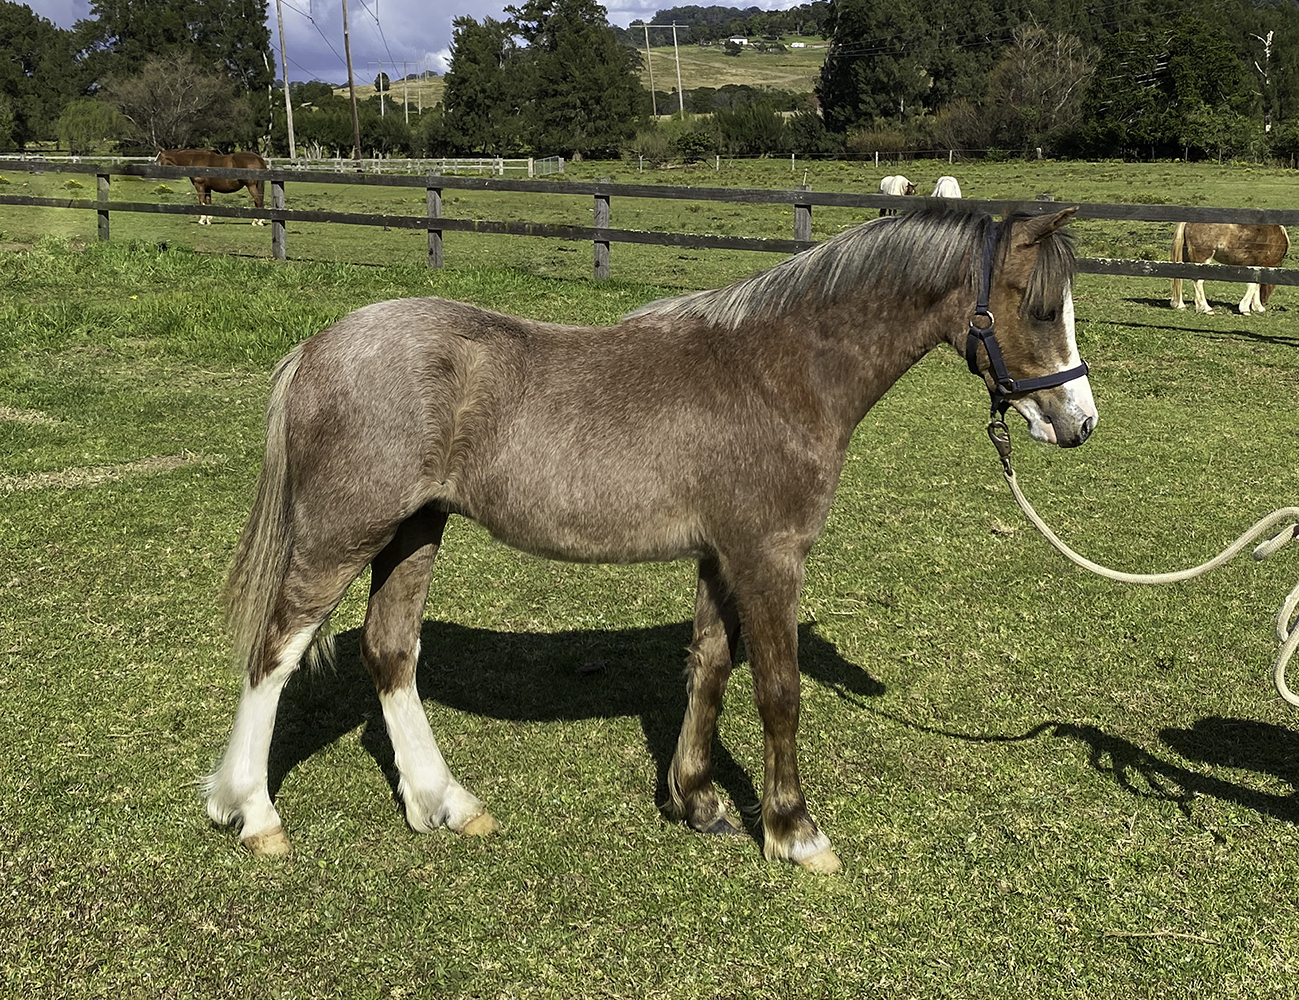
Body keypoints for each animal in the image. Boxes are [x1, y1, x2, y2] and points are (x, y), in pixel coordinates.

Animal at [205, 206, 1097, 873]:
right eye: (1038, 307)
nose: (1078, 423)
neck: (783, 370)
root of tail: (317, 347)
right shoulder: (769, 557)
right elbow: (778, 691)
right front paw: (794, 831)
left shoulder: (721, 556)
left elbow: (709, 667)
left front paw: (696, 800)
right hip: (342, 534)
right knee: (274, 653)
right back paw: (250, 812)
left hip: (413, 532)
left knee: (389, 653)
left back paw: (444, 803)